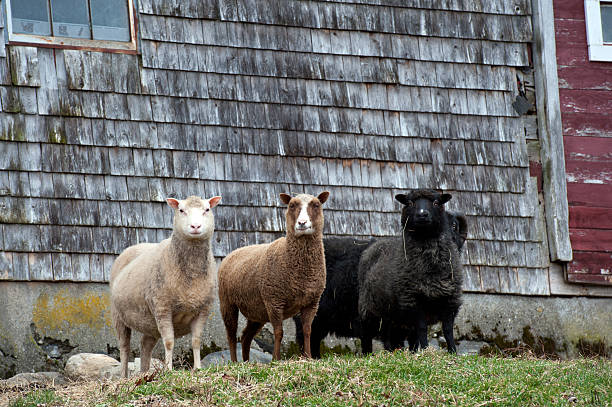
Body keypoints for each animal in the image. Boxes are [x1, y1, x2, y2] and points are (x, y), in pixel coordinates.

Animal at [110, 196, 222, 378]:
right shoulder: (162, 307)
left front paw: (197, 368)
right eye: (181, 210)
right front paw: (169, 369)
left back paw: (144, 372)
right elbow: (169, 342)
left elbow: (196, 341)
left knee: (145, 344)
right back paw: (124, 377)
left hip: (149, 322)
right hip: (118, 316)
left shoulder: (203, 308)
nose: (195, 227)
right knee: (124, 347)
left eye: (207, 210)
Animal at [216, 193, 328, 362]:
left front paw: (308, 357)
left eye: (316, 205)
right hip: (227, 303)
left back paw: (246, 361)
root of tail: (233, 252)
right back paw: (235, 362)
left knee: (245, 337)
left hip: (256, 311)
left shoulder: (312, 302)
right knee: (231, 335)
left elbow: (307, 330)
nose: (302, 223)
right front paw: (276, 358)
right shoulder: (274, 301)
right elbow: (279, 332)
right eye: (291, 205)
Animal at [358, 191, 464, 354]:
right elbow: (422, 328)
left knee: (390, 335)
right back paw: (370, 353)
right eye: (410, 203)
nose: (422, 215)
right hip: (369, 309)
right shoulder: (414, 300)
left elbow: (447, 330)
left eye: (436, 202)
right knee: (368, 335)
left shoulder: (450, 300)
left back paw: (399, 352)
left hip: (392, 315)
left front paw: (452, 352)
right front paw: (426, 350)